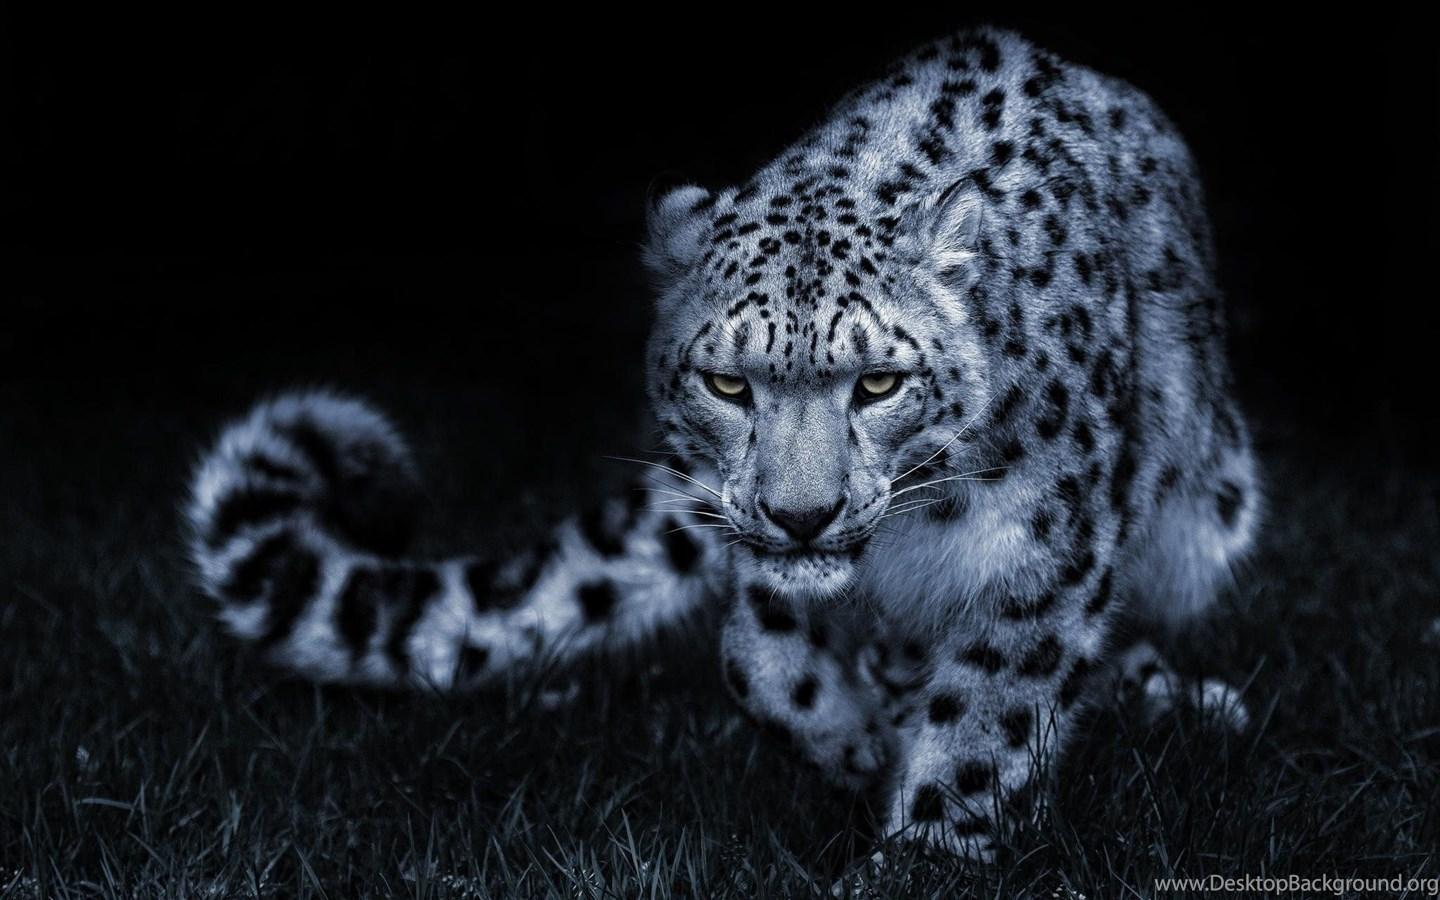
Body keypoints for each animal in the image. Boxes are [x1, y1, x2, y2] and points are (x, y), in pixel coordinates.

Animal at [185, 26, 1259, 860]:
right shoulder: (754, 552)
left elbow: (986, 724)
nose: (802, 516)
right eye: (728, 383)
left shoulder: (1043, 555)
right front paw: (855, 745)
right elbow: (757, 659)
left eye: (879, 382)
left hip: (1209, 513)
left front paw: (921, 852)